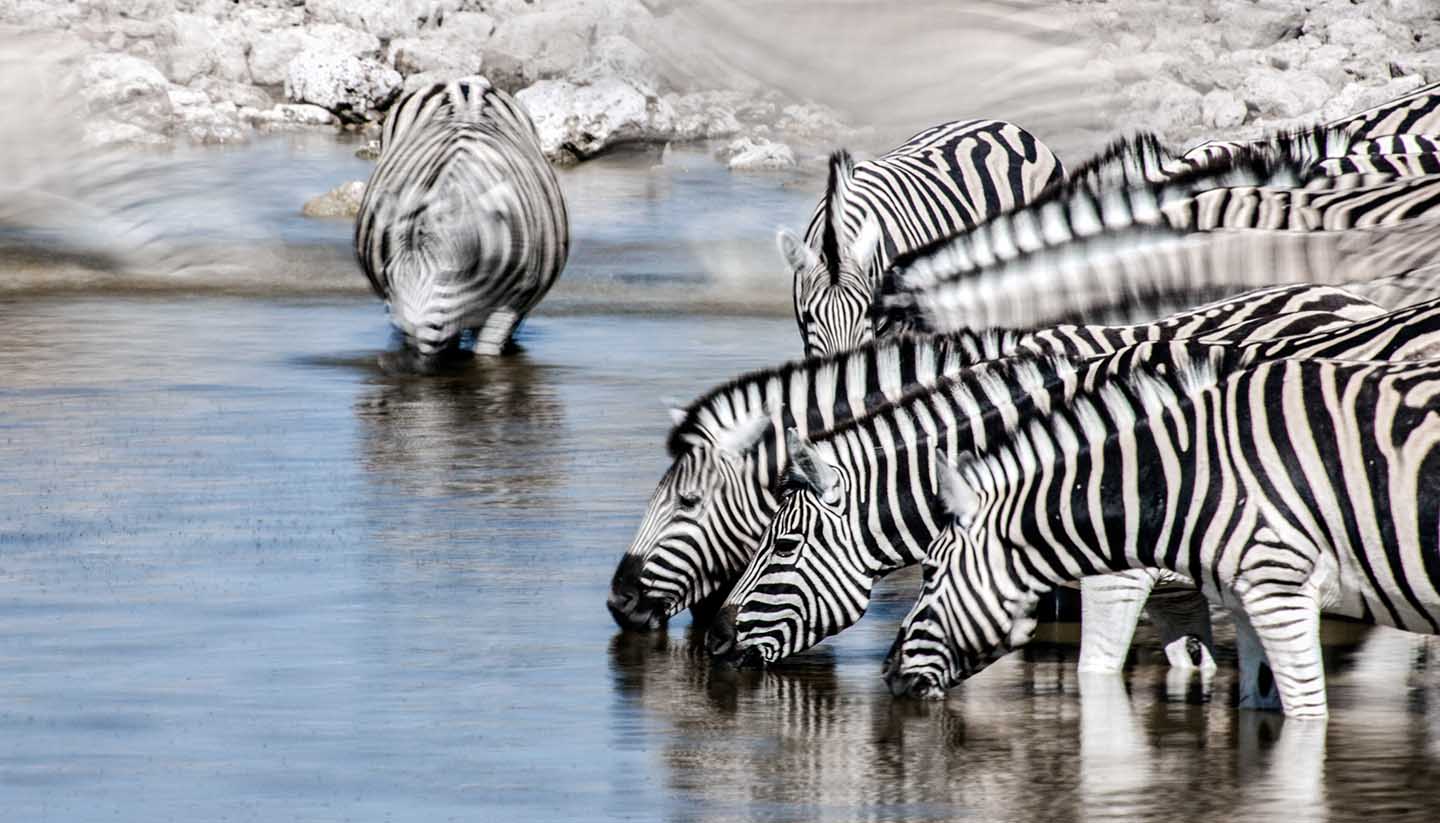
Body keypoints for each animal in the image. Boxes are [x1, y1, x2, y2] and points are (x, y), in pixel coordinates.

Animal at [883, 351, 1440, 718]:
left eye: (929, 570)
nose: (887, 674)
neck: (1192, 477)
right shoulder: (1247, 605)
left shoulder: (1280, 591)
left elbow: (1306, 719)